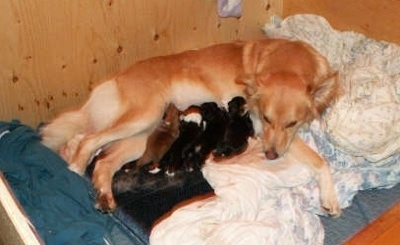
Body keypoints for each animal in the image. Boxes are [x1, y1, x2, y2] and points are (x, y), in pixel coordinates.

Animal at [40, 38, 340, 214]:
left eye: (292, 122)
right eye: (266, 119)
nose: (270, 155)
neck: (286, 63)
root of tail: (115, 78)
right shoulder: (259, 125)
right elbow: (320, 159)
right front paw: (331, 198)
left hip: (145, 135)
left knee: (102, 160)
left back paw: (104, 195)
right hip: (143, 116)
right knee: (87, 141)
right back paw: (74, 170)